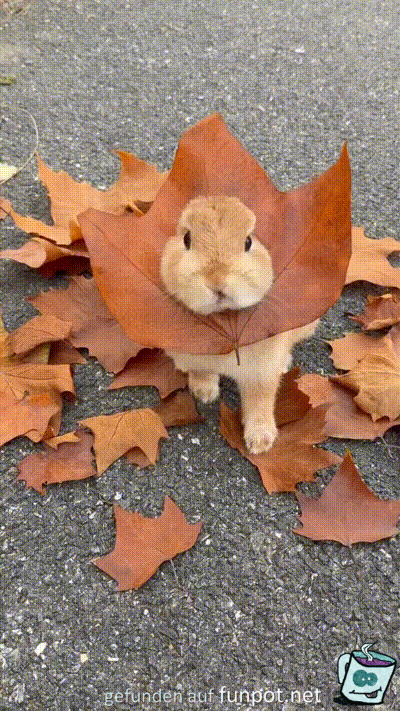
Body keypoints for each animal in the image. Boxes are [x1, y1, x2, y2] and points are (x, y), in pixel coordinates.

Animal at [160, 195, 318, 454]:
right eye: (186, 239)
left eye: (248, 242)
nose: (217, 281)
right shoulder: (194, 359)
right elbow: (202, 373)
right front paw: (204, 394)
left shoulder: (261, 373)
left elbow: (260, 403)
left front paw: (260, 443)